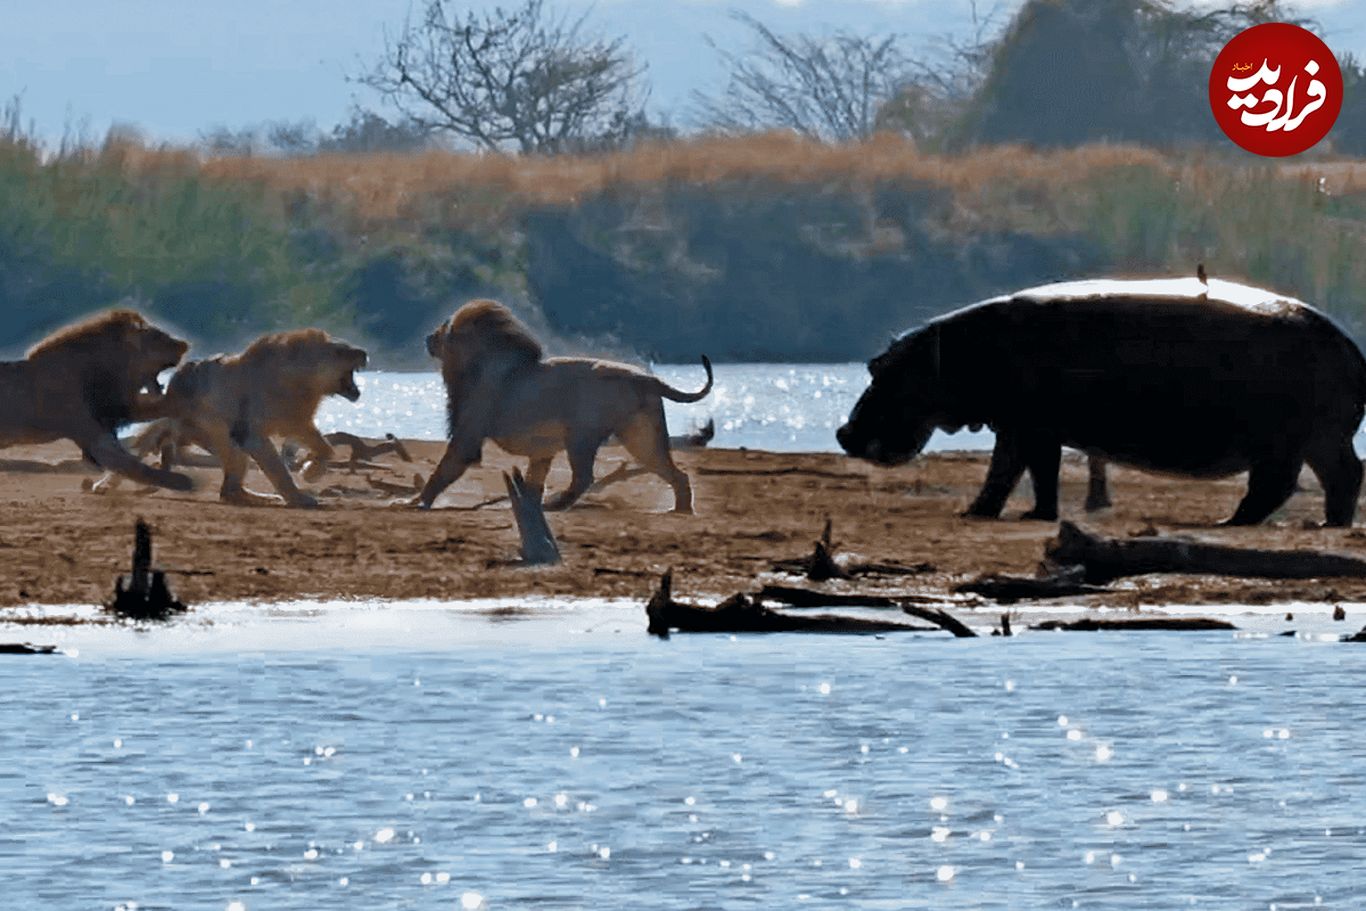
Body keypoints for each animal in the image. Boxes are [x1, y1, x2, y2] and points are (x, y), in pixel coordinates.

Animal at [0, 308, 193, 491]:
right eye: (157, 335)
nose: (184, 344)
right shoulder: (91, 433)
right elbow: (130, 464)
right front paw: (183, 482)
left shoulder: (117, 408)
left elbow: (163, 407)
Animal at [94, 329, 368, 513]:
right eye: (341, 350)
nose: (365, 353)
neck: (305, 385)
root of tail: (172, 393)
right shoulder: (252, 434)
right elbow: (278, 470)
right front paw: (301, 496)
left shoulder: (298, 422)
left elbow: (326, 448)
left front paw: (311, 468)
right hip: (222, 436)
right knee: (228, 490)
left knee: (229, 490)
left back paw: (265, 498)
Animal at [415, 299, 715, 513]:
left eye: (442, 330)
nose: (427, 337)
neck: (477, 363)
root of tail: (643, 377)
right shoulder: (541, 452)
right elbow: (533, 480)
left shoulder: (468, 434)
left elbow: (444, 469)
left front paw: (416, 502)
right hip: (641, 437)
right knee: (679, 475)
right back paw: (681, 510)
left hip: (582, 437)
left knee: (584, 478)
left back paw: (557, 504)